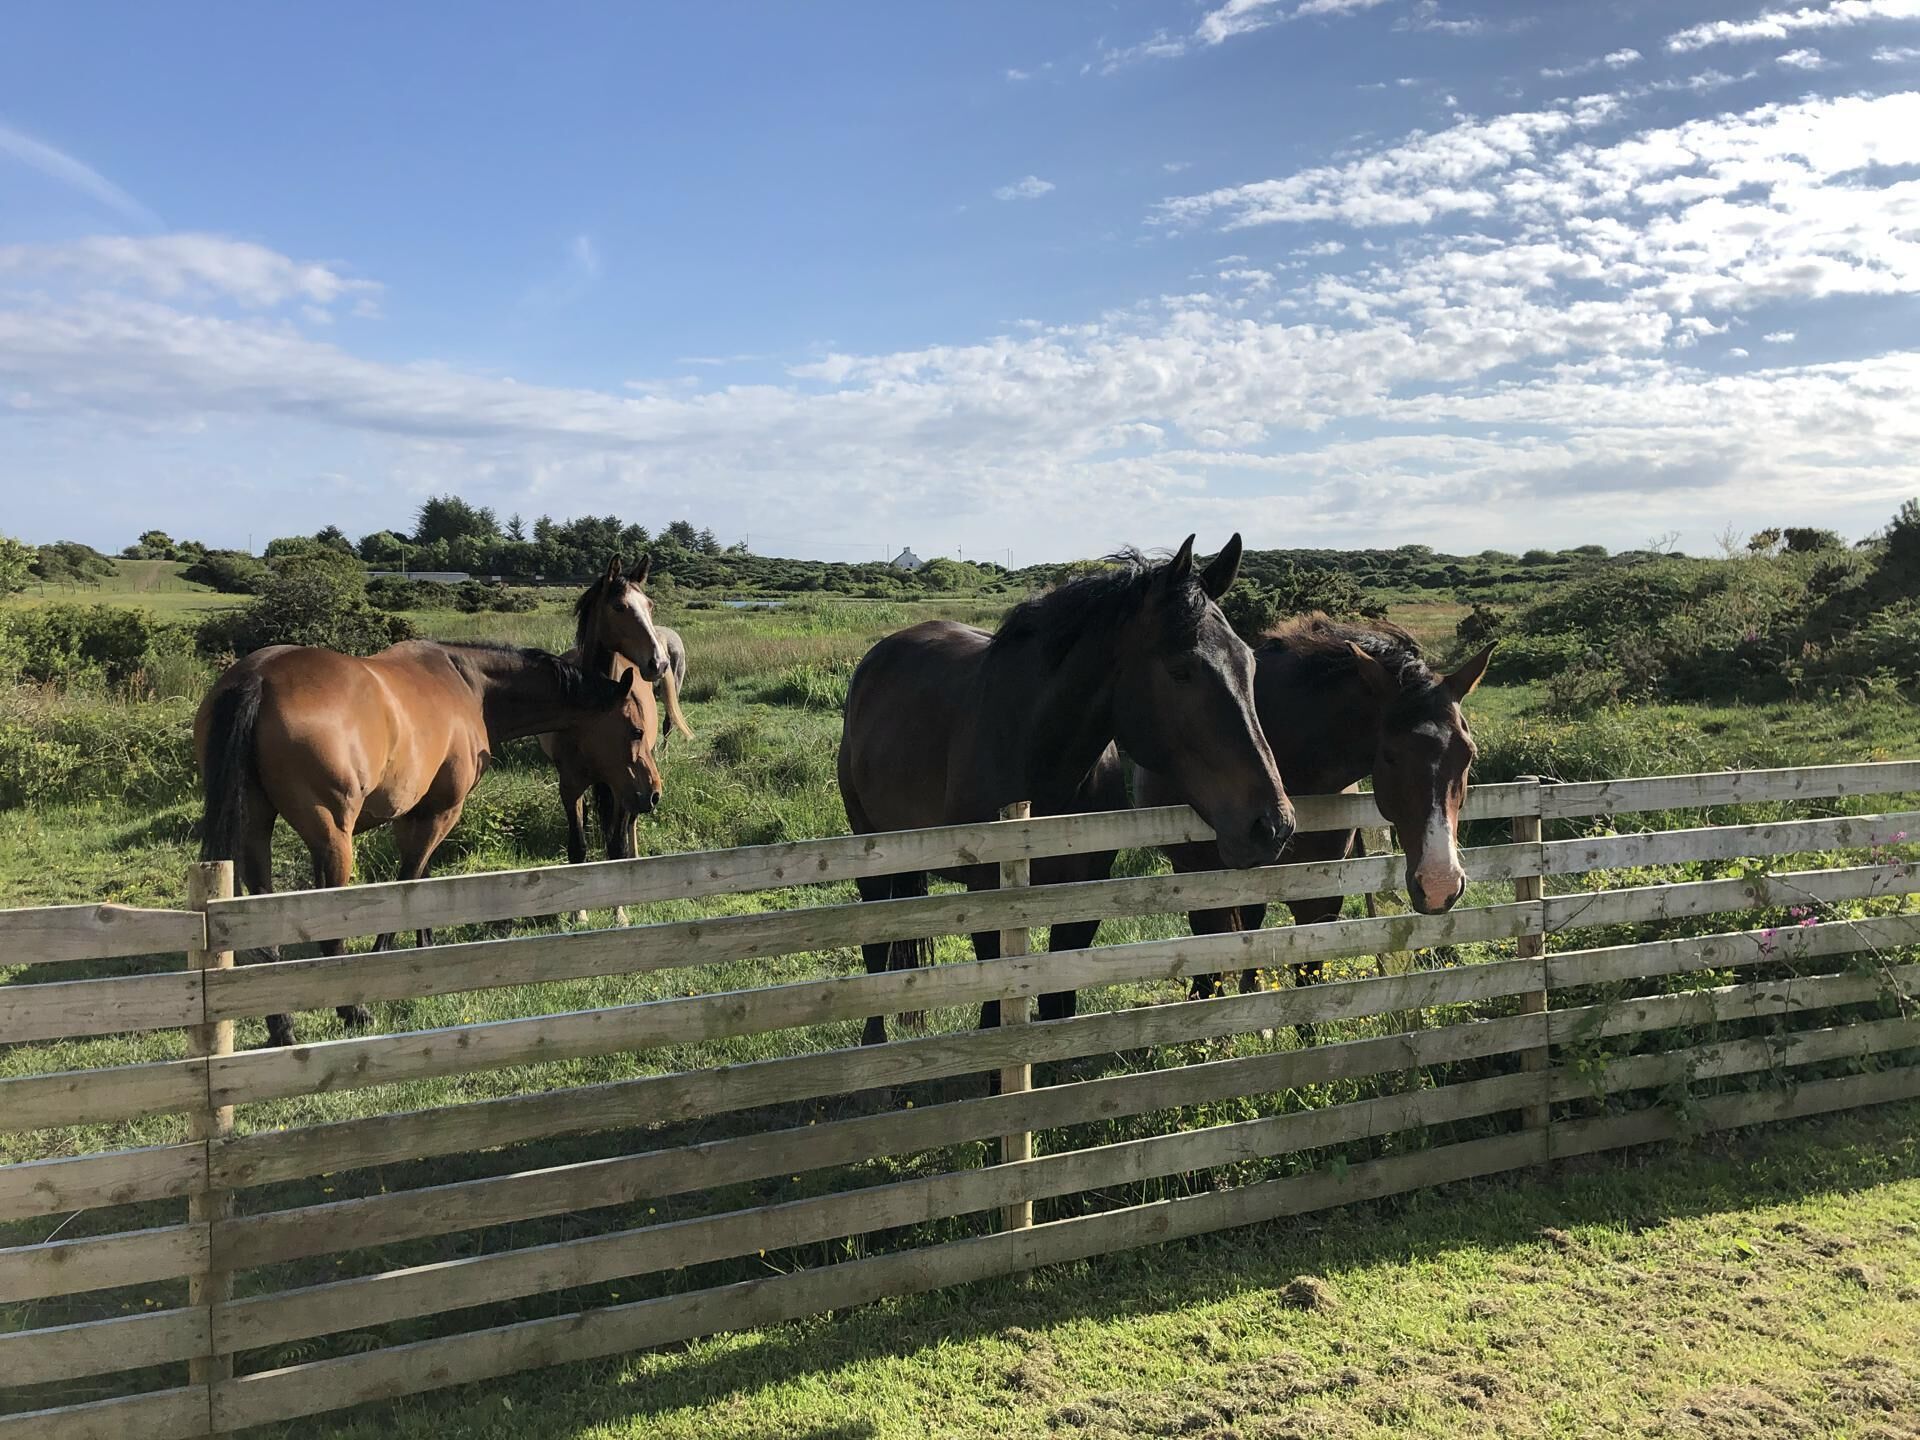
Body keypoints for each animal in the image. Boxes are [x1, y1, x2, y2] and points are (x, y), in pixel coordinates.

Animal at [195, 639, 654, 1047]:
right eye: (636, 730)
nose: (652, 794)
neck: (469, 685)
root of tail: (258, 678)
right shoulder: (441, 812)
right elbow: (409, 881)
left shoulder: (413, 815)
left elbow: (422, 883)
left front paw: (425, 946)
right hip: (332, 838)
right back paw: (351, 1010)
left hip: (256, 831)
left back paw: (282, 1027)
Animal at [837, 535, 1295, 1046]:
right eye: (1181, 670)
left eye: (1248, 663)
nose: (1272, 825)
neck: (1037, 756)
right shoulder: (987, 902)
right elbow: (993, 1014)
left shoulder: (1080, 903)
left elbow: (1059, 1007)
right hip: (869, 852)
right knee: (875, 952)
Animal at [1133, 613, 1492, 1000]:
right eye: (1390, 756)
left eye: (1468, 755)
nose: (1439, 884)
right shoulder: (1203, 887)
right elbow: (1208, 975)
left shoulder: (1320, 897)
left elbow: (1308, 979)